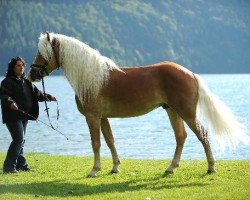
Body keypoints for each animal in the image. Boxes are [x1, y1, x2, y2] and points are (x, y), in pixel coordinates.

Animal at [27, 32, 248, 177]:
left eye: (44, 53)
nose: (32, 74)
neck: (92, 77)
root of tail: (190, 73)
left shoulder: (93, 117)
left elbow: (96, 143)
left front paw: (94, 170)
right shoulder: (103, 117)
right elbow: (110, 141)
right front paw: (115, 167)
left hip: (186, 113)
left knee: (202, 135)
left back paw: (211, 167)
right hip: (173, 111)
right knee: (181, 137)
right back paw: (171, 168)